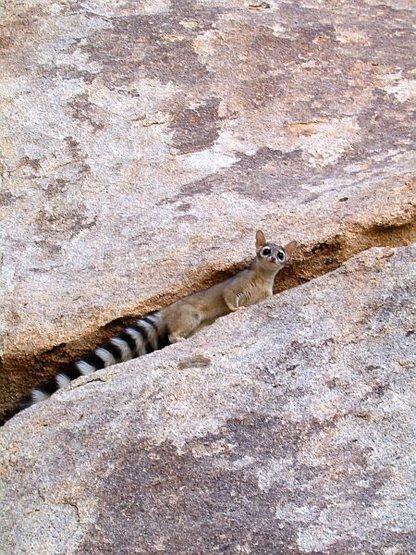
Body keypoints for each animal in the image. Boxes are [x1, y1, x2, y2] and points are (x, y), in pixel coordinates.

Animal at [12, 230, 296, 416]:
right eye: (266, 250)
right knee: (173, 334)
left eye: (281, 254)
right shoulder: (235, 285)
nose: (274, 258)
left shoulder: (265, 293)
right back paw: (179, 336)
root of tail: (166, 310)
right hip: (190, 314)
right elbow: (228, 297)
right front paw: (236, 309)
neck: (262, 277)